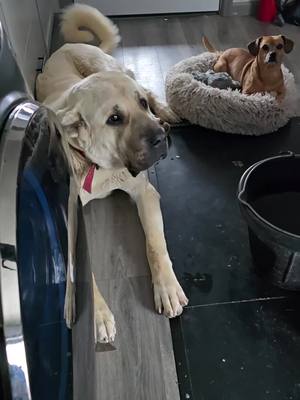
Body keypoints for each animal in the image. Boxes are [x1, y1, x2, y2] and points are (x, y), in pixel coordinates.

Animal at [35, 3, 188, 344]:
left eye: (140, 105)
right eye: (114, 119)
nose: (161, 137)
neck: (102, 167)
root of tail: (67, 45)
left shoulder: (144, 192)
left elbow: (155, 244)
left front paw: (167, 288)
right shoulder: (72, 210)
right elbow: (77, 266)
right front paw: (95, 313)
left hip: (111, 67)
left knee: (145, 84)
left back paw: (166, 111)